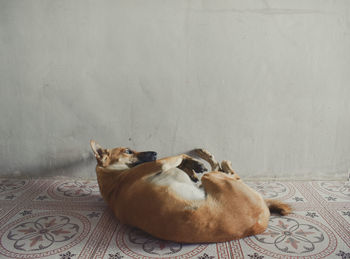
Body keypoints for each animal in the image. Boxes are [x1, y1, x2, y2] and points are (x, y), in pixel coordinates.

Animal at [89, 140, 290, 244]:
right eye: (128, 151)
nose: (154, 152)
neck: (112, 180)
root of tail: (263, 216)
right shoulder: (159, 164)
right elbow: (179, 156)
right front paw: (193, 162)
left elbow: (182, 163)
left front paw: (192, 167)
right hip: (214, 178)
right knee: (228, 172)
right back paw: (219, 161)